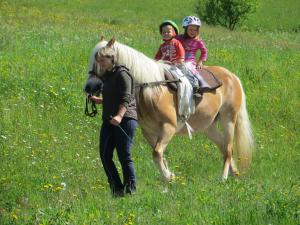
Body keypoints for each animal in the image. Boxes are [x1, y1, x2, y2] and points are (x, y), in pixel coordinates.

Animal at [92, 37, 254, 181]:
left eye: (105, 57)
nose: (91, 86)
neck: (154, 89)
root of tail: (233, 76)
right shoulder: (149, 131)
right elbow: (159, 154)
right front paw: (170, 177)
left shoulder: (168, 127)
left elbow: (157, 153)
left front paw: (168, 177)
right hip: (209, 127)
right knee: (224, 147)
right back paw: (234, 174)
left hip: (229, 119)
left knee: (228, 149)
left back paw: (224, 178)